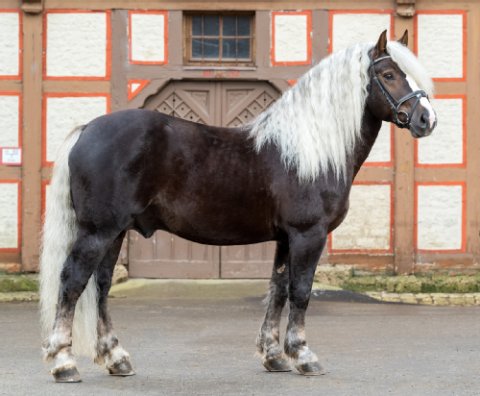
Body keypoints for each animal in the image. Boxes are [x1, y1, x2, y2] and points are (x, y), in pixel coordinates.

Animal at [40, 31, 436, 384]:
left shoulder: (285, 239)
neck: (307, 150)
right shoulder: (308, 235)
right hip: (98, 231)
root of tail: (87, 129)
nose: (426, 119)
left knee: (102, 285)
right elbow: (301, 292)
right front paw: (304, 356)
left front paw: (274, 357)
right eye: (389, 74)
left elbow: (278, 290)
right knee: (73, 281)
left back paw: (116, 359)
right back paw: (63, 363)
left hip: (115, 232)